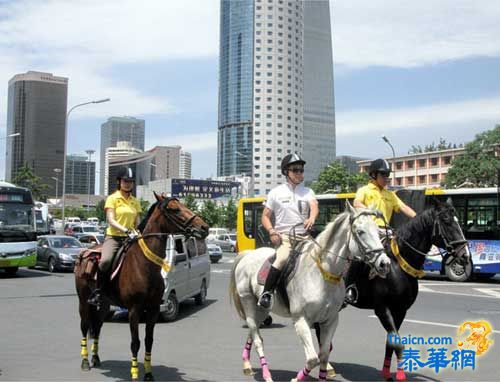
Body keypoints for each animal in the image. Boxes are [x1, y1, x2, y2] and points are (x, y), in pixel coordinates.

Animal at [74, 194, 207, 382]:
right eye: (174, 209)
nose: (204, 227)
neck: (145, 264)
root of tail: (85, 253)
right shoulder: (134, 310)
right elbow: (135, 343)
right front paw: (135, 373)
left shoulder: (153, 309)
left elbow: (149, 341)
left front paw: (149, 374)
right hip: (84, 302)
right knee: (85, 327)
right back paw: (85, 361)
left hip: (104, 304)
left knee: (97, 328)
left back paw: (96, 358)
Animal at [229, 203, 390, 382]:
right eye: (360, 231)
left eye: (378, 231)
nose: (384, 263)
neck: (322, 275)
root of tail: (247, 255)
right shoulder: (301, 320)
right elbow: (313, 358)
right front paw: (296, 379)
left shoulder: (330, 320)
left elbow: (324, 355)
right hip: (249, 303)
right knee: (257, 339)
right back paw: (266, 374)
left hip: (262, 309)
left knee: (254, 332)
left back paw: (247, 365)